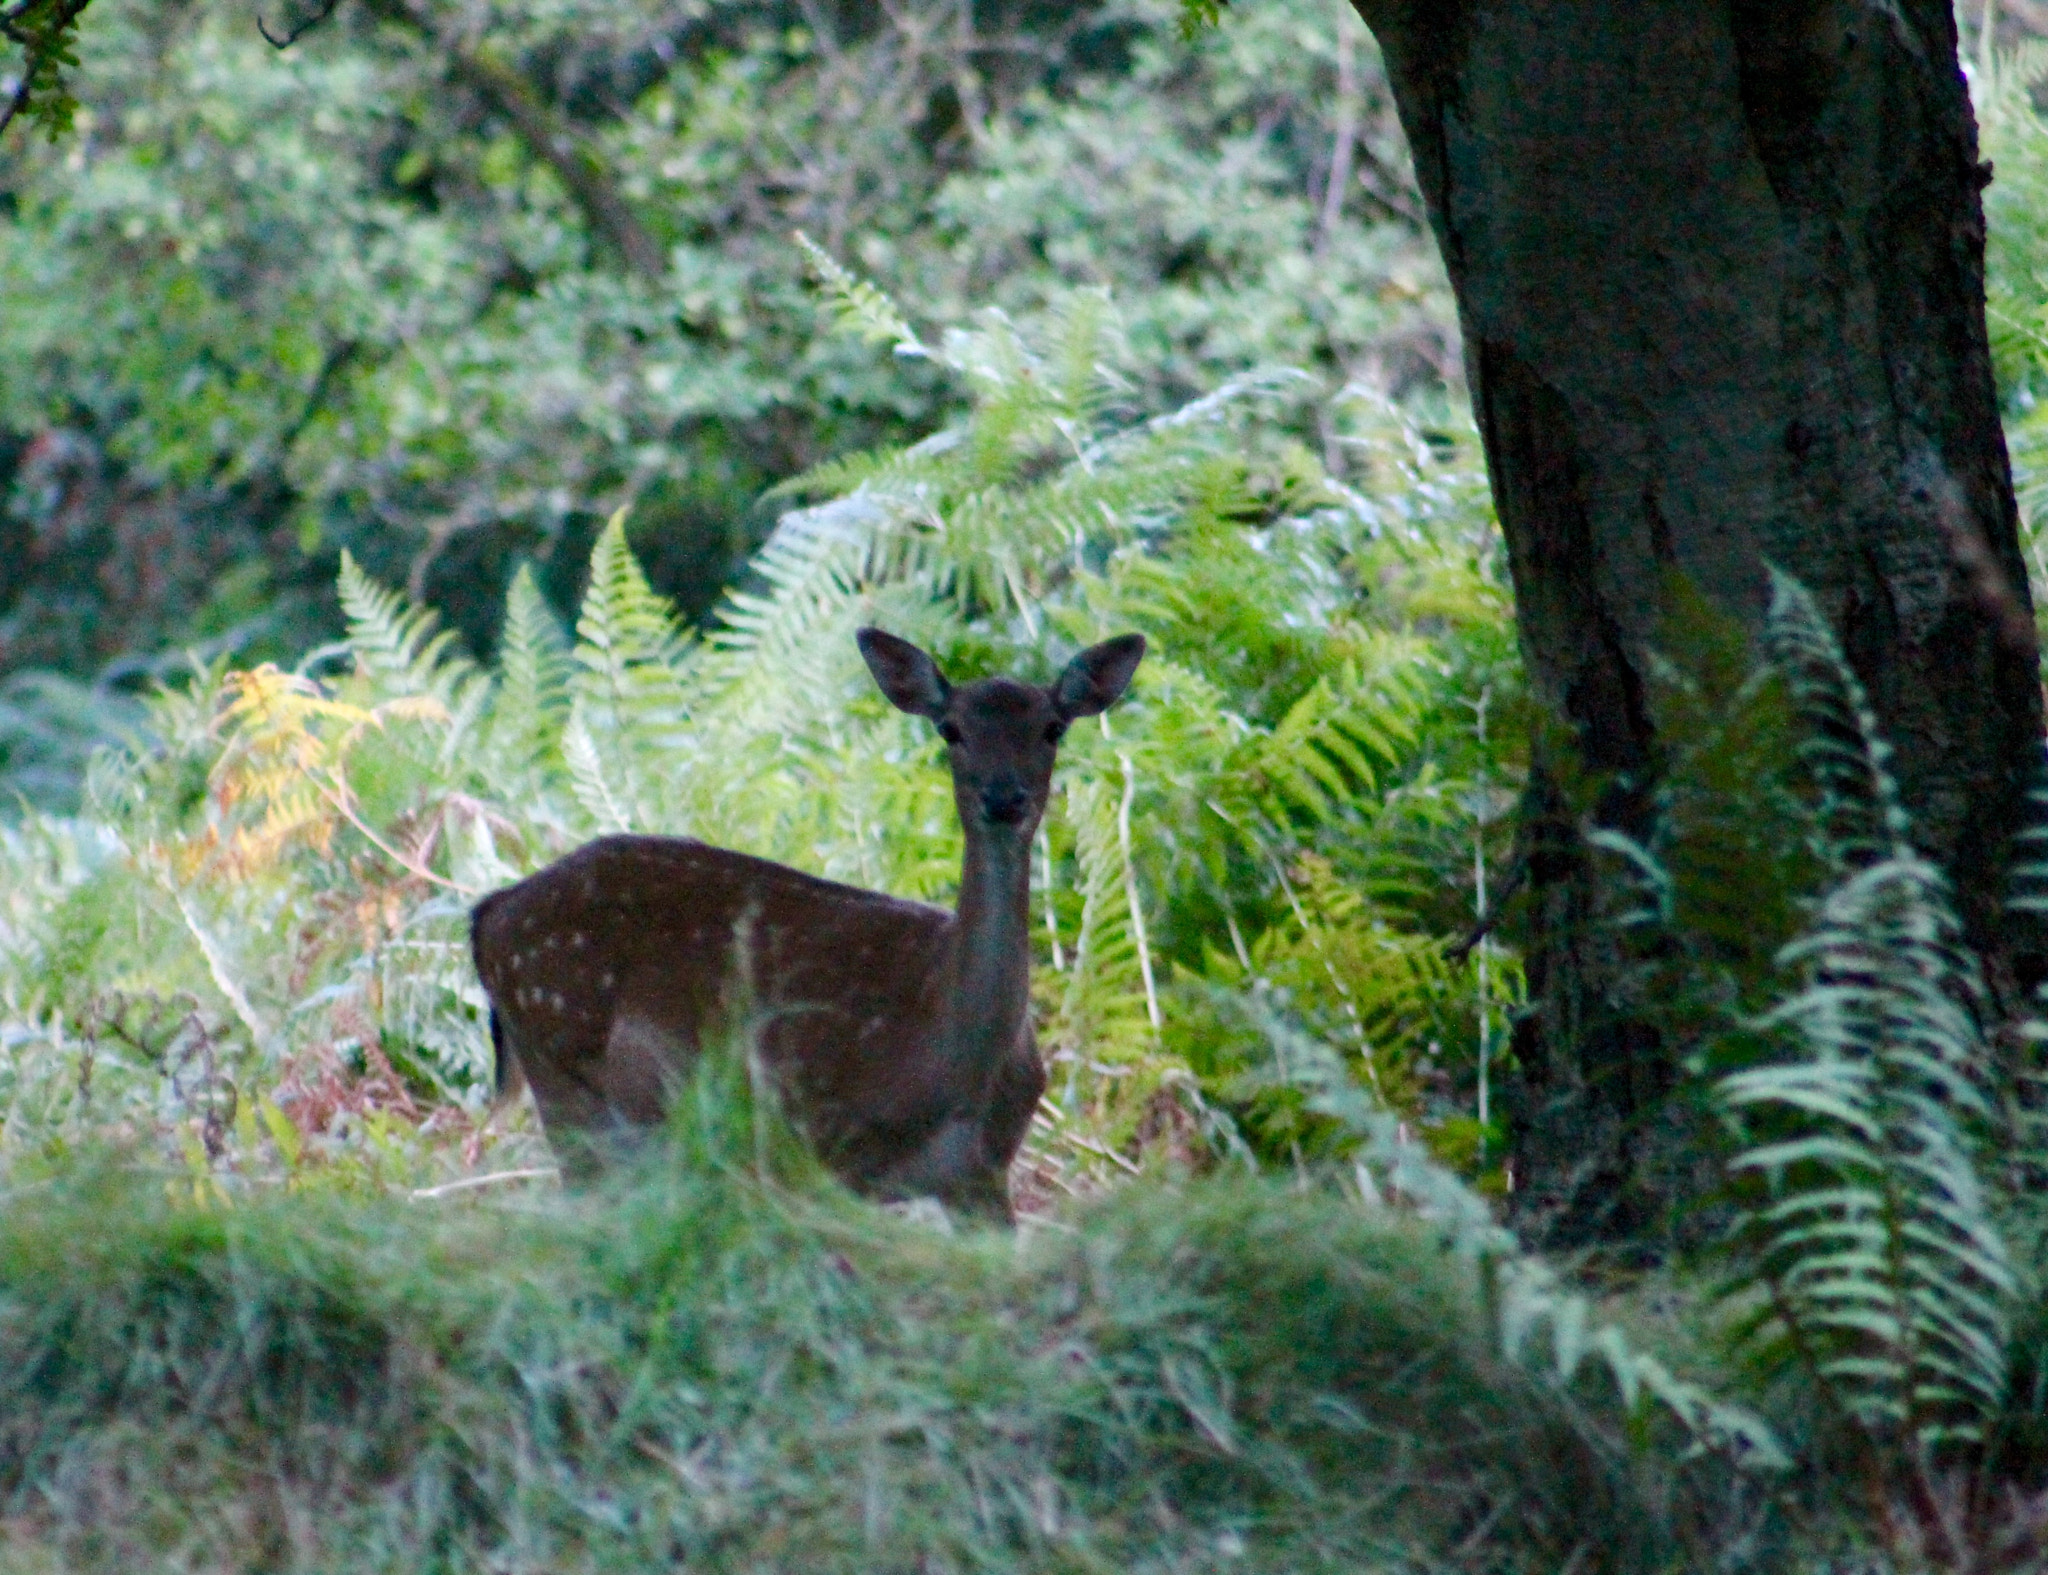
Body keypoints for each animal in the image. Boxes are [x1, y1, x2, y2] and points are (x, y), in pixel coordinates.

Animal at [470, 627, 1146, 1222]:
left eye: (1053, 727)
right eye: (950, 728)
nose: (1004, 798)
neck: (948, 1064)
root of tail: (488, 913)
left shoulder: (983, 1177)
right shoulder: (818, 1146)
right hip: (566, 1079)